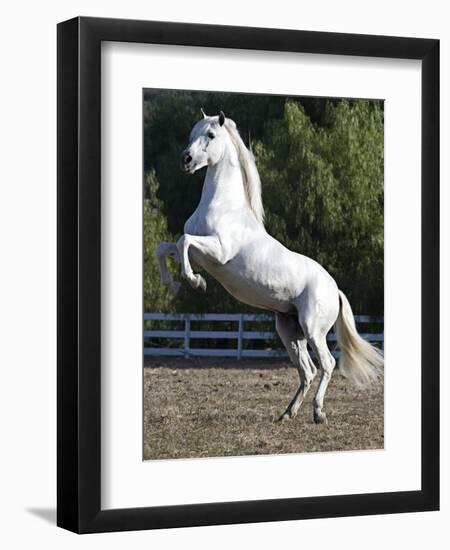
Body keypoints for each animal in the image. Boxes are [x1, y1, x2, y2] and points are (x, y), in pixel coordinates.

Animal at [156, 110, 384, 424]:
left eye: (211, 136)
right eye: (192, 134)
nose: (186, 160)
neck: (223, 206)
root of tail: (335, 289)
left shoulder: (218, 252)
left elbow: (184, 241)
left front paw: (194, 282)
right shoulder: (201, 255)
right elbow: (168, 247)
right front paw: (176, 286)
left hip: (313, 329)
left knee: (326, 364)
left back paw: (318, 413)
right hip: (289, 331)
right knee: (308, 370)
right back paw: (287, 414)